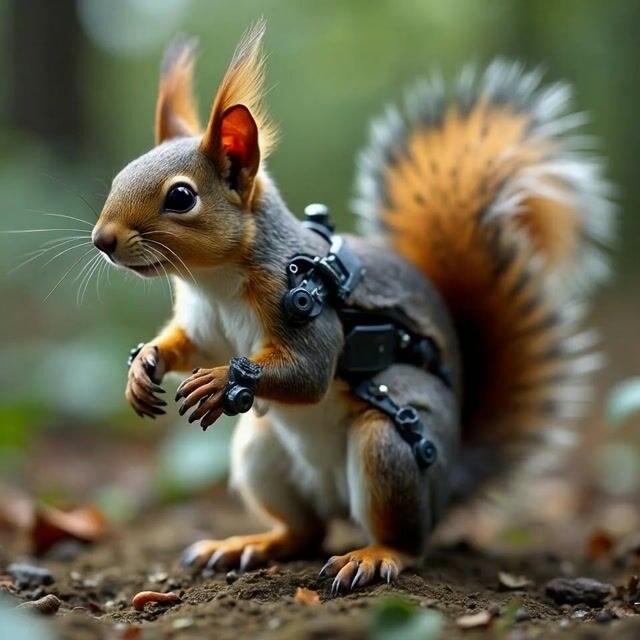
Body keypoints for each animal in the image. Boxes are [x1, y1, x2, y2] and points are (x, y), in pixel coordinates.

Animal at [91, 22, 614, 592]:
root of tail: (447, 485)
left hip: (388, 448)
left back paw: (371, 555)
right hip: (259, 451)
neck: (215, 281)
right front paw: (145, 366)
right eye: (119, 177)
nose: (102, 240)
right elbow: (189, 345)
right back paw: (249, 544)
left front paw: (222, 379)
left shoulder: (301, 302)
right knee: (306, 531)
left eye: (181, 197)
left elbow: (310, 373)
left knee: (404, 539)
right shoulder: (205, 320)